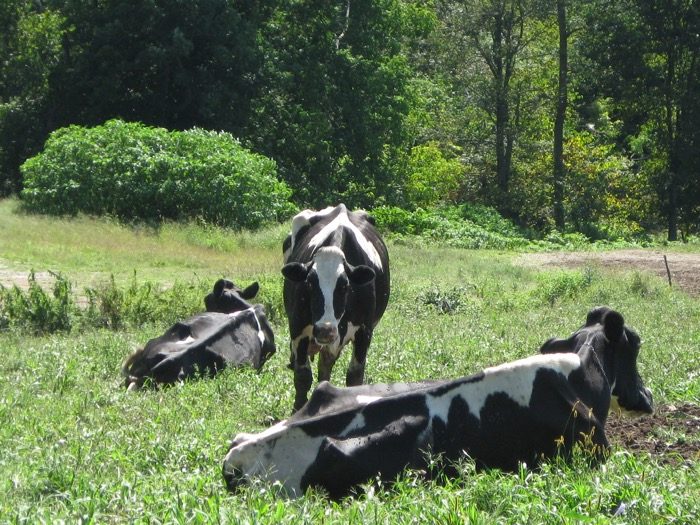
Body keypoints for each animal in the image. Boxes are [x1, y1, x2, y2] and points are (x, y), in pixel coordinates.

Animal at [282, 204, 392, 410]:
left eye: (345, 285)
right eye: (310, 283)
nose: (325, 331)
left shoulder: (365, 331)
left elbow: (355, 376)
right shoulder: (298, 328)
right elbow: (302, 376)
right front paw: (298, 409)